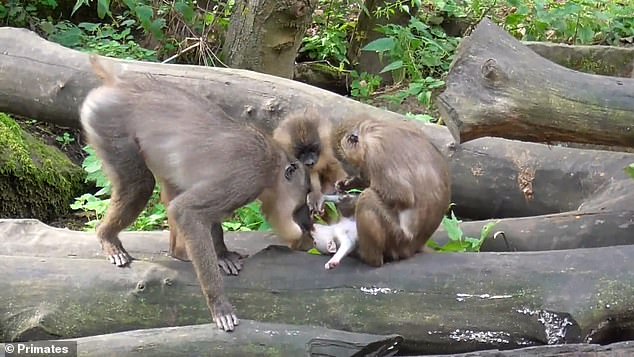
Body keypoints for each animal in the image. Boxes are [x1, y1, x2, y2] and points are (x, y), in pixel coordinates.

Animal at [79, 54, 314, 330]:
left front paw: (222, 254)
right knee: (140, 184)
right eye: (304, 197)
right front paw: (219, 304)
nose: (308, 222)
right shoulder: (246, 179)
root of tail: (120, 81)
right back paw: (107, 237)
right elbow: (187, 211)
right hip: (108, 125)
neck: (273, 167)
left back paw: (178, 252)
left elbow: (199, 213)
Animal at [330, 117, 450, 268]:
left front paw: (349, 202)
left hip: (397, 238)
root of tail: (413, 247)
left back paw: (370, 258)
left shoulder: (376, 156)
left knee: (368, 198)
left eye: (344, 160)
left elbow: (401, 196)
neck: (370, 131)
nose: (355, 170)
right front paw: (347, 184)